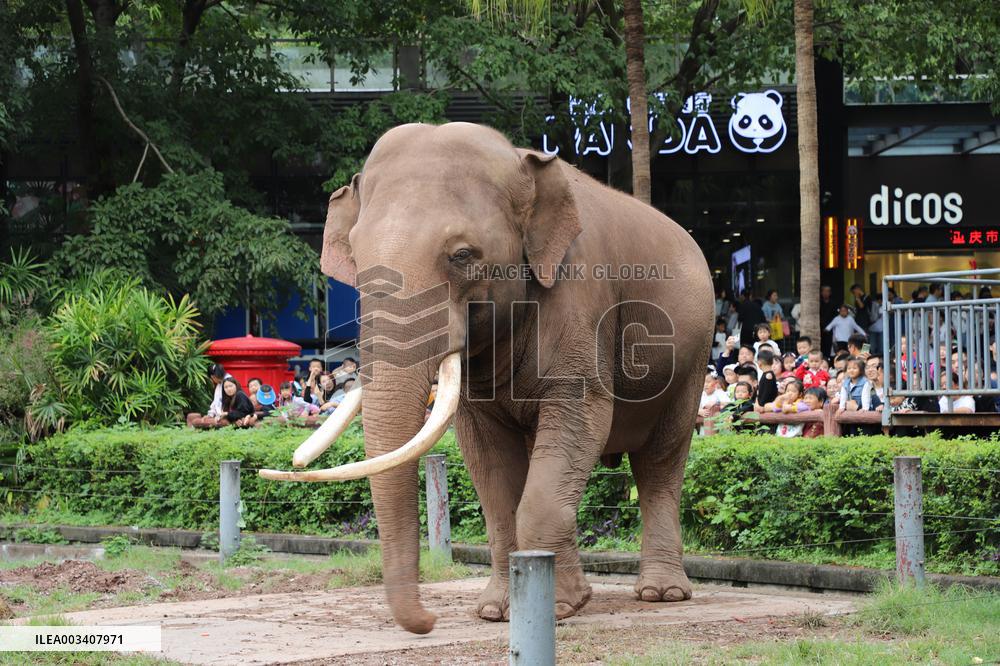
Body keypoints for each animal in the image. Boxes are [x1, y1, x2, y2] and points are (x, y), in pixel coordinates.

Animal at [260, 122, 714, 635]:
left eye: (462, 255)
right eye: (355, 257)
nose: (430, 619)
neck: (521, 160)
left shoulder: (582, 298)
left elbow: (580, 420)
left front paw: (559, 608)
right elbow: (489, 467)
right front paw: (498, 611)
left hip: (692, 357)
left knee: (660, 461)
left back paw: (662, 594)